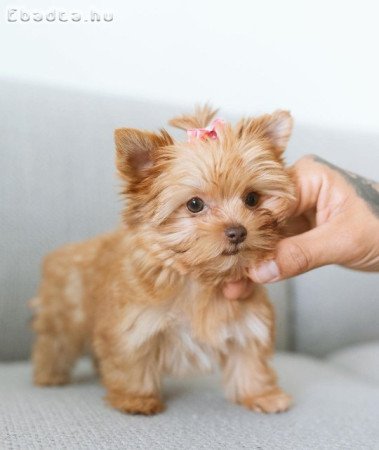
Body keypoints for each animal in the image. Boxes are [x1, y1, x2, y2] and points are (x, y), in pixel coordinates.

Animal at [31, 105, 296, 414]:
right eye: (194, 204)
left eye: (252, 198)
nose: (237, 231)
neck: (199, 279)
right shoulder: (132, 326)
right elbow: (131, 362)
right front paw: (136, 399)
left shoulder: (247, 324)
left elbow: (250, 361)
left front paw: (262, 395)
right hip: (64, 313)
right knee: (54, 342)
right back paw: (48, 375)